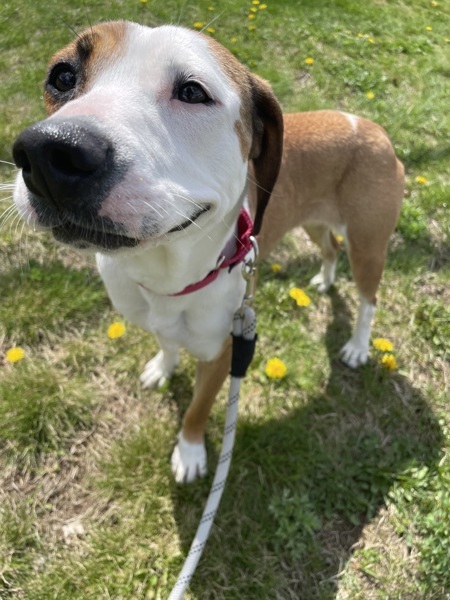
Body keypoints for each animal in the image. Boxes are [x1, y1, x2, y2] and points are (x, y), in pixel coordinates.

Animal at [12, 21, 404, 482]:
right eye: (63, 76)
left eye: (192, 91)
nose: (48, 151)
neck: (166, 277)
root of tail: (371, 126)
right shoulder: (158, 320)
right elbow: (167, 343)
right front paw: (162, 368)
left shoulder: (225, 354)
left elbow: (197, 408)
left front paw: (190, 452)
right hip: (313, 221)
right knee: (330, 247)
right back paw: (323, 281)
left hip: (369, 245)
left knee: (368, 298)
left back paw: (358, 346)